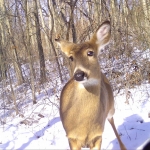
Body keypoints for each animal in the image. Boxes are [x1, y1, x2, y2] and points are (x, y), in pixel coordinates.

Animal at [55, 20, 125, 149]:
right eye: (71, 58)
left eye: (90, 52)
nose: (78, 75)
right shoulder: (71, 137)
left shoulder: (97, 136)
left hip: (111, 107)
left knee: (112, 120)